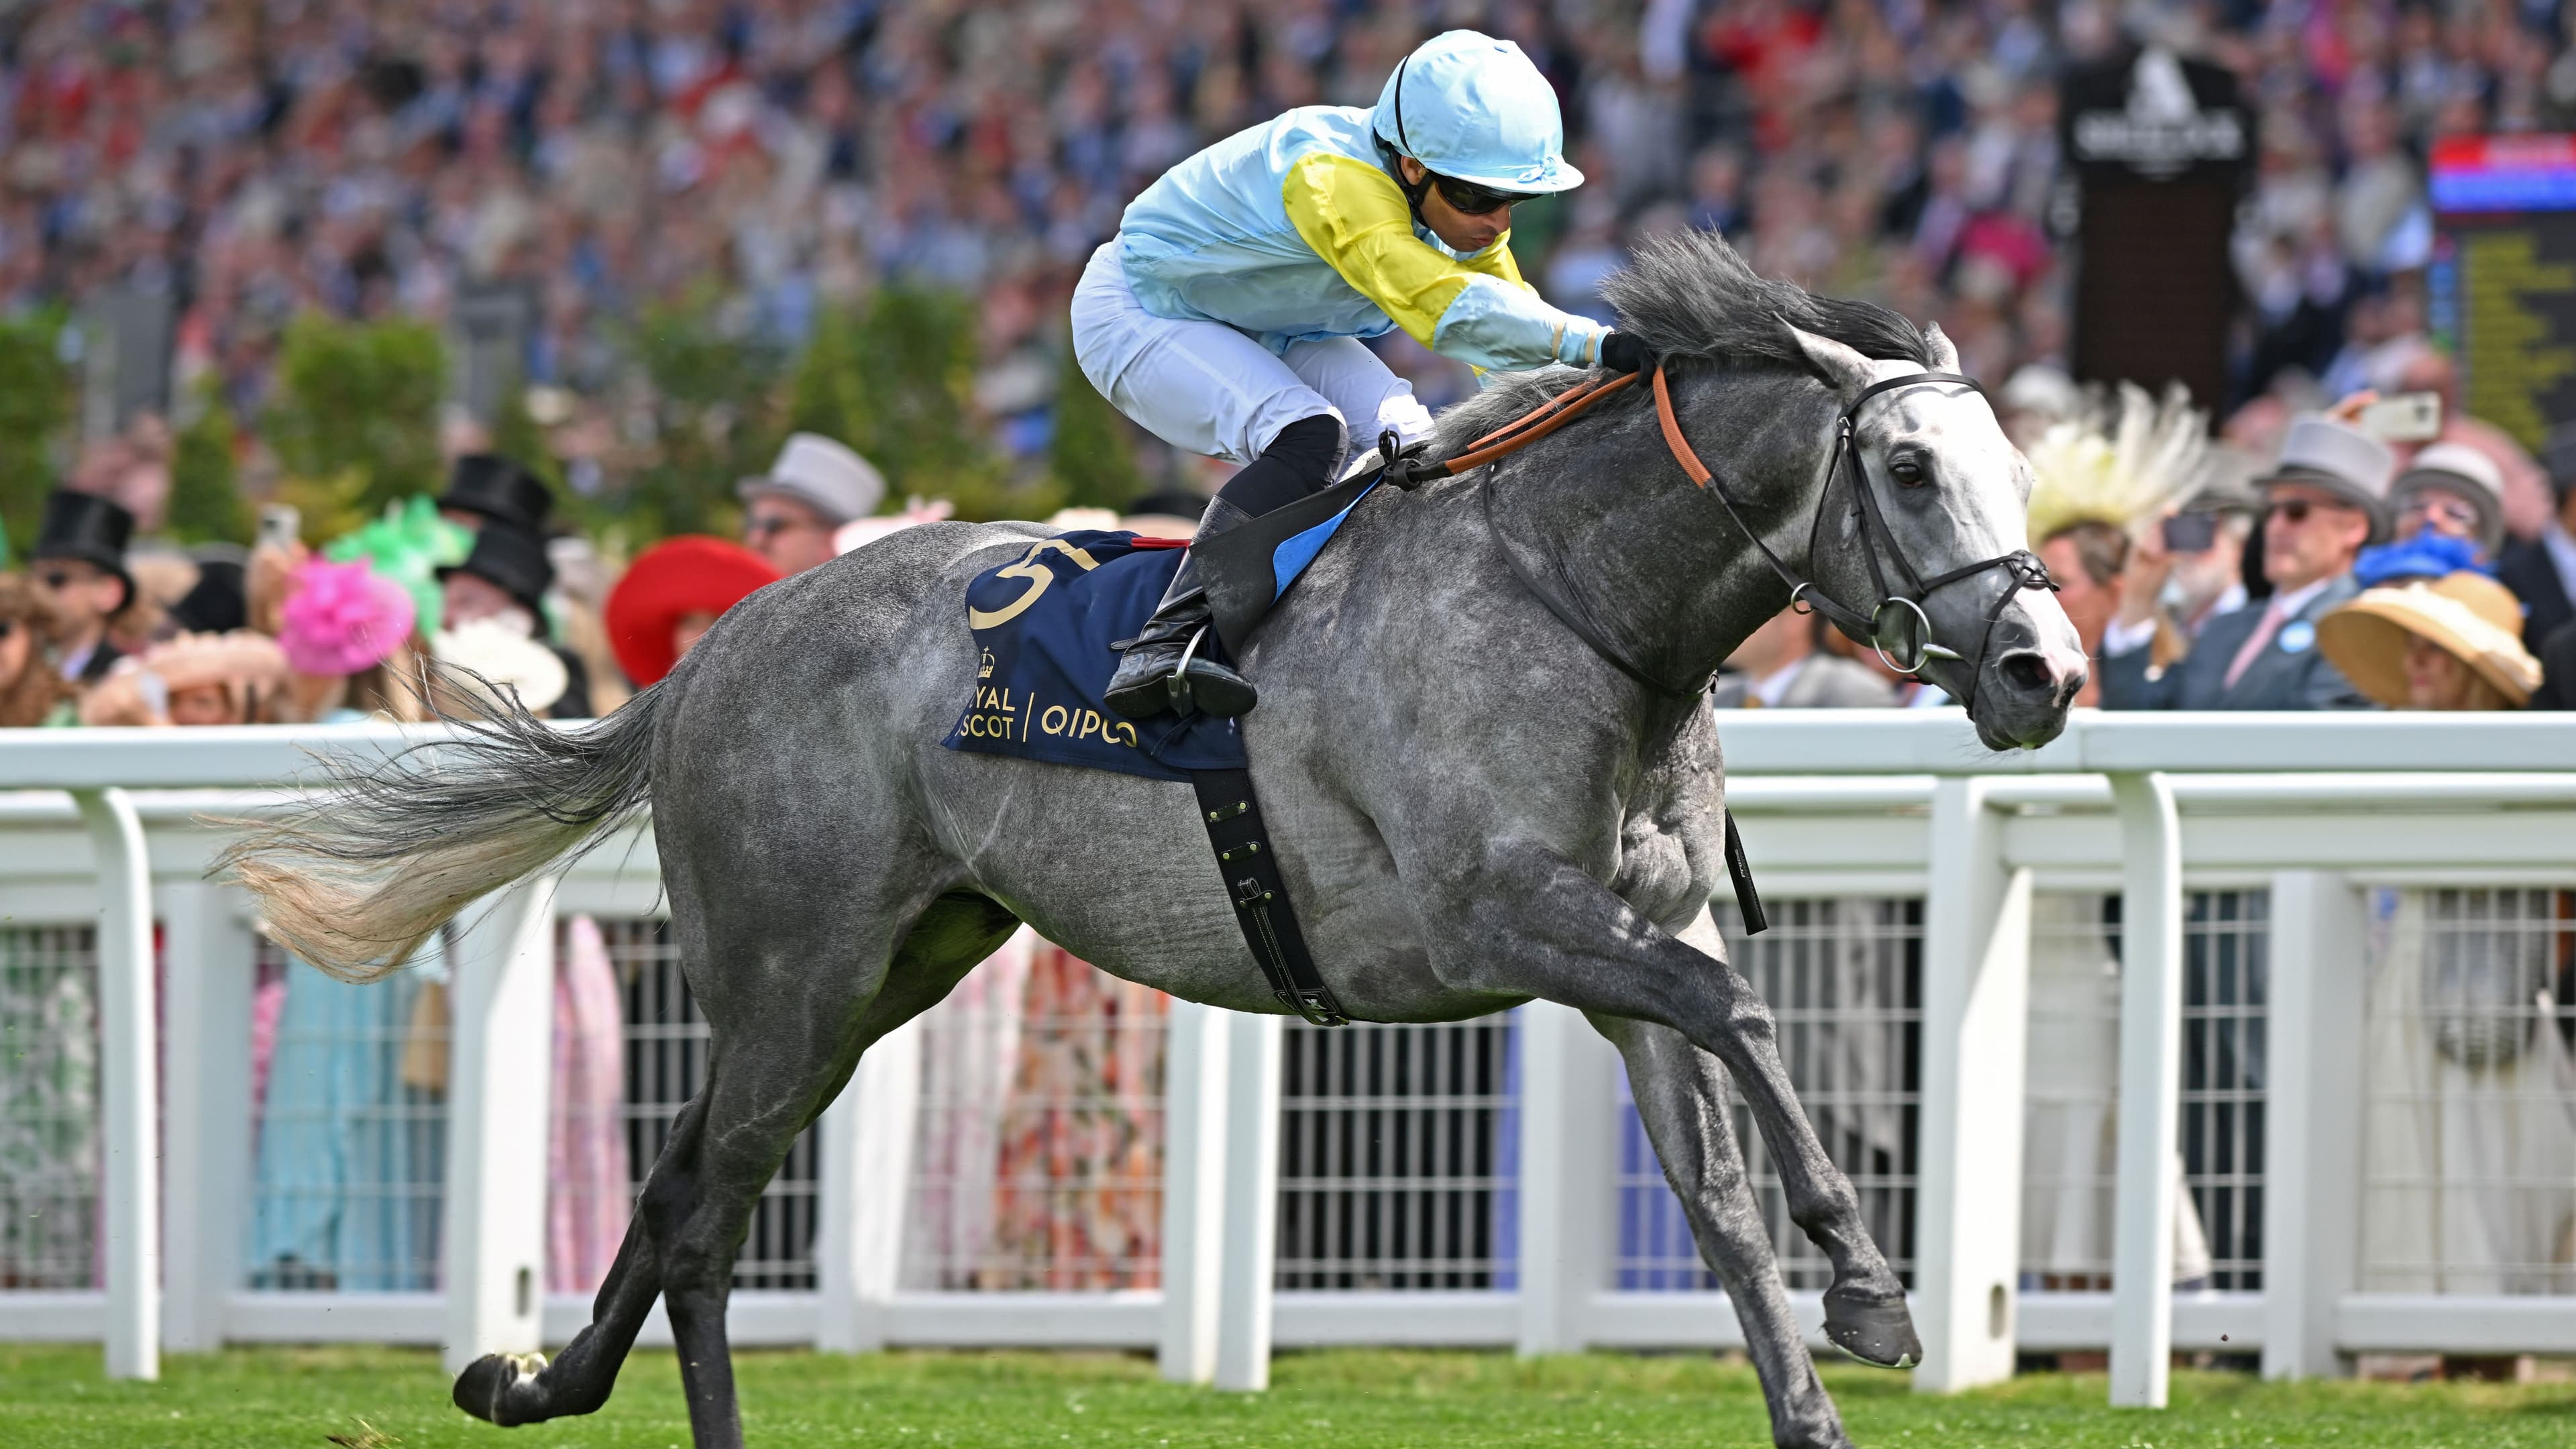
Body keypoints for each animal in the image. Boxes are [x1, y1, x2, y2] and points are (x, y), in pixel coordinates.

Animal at [222, 230, 2086, 1449]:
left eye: (2012, 469)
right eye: (1910, 469)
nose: (2043, 671)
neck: (1583, 601)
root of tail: (705, 659)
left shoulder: (1629, 941)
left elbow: (1717, 1187)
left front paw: (1823, 1365)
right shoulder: (1498, 917)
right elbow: (1745, 1017)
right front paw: (1873, 1280)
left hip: (891, 967)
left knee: (687, 1180)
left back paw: (536, 1378)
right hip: (793, 971)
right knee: (703, 1206)